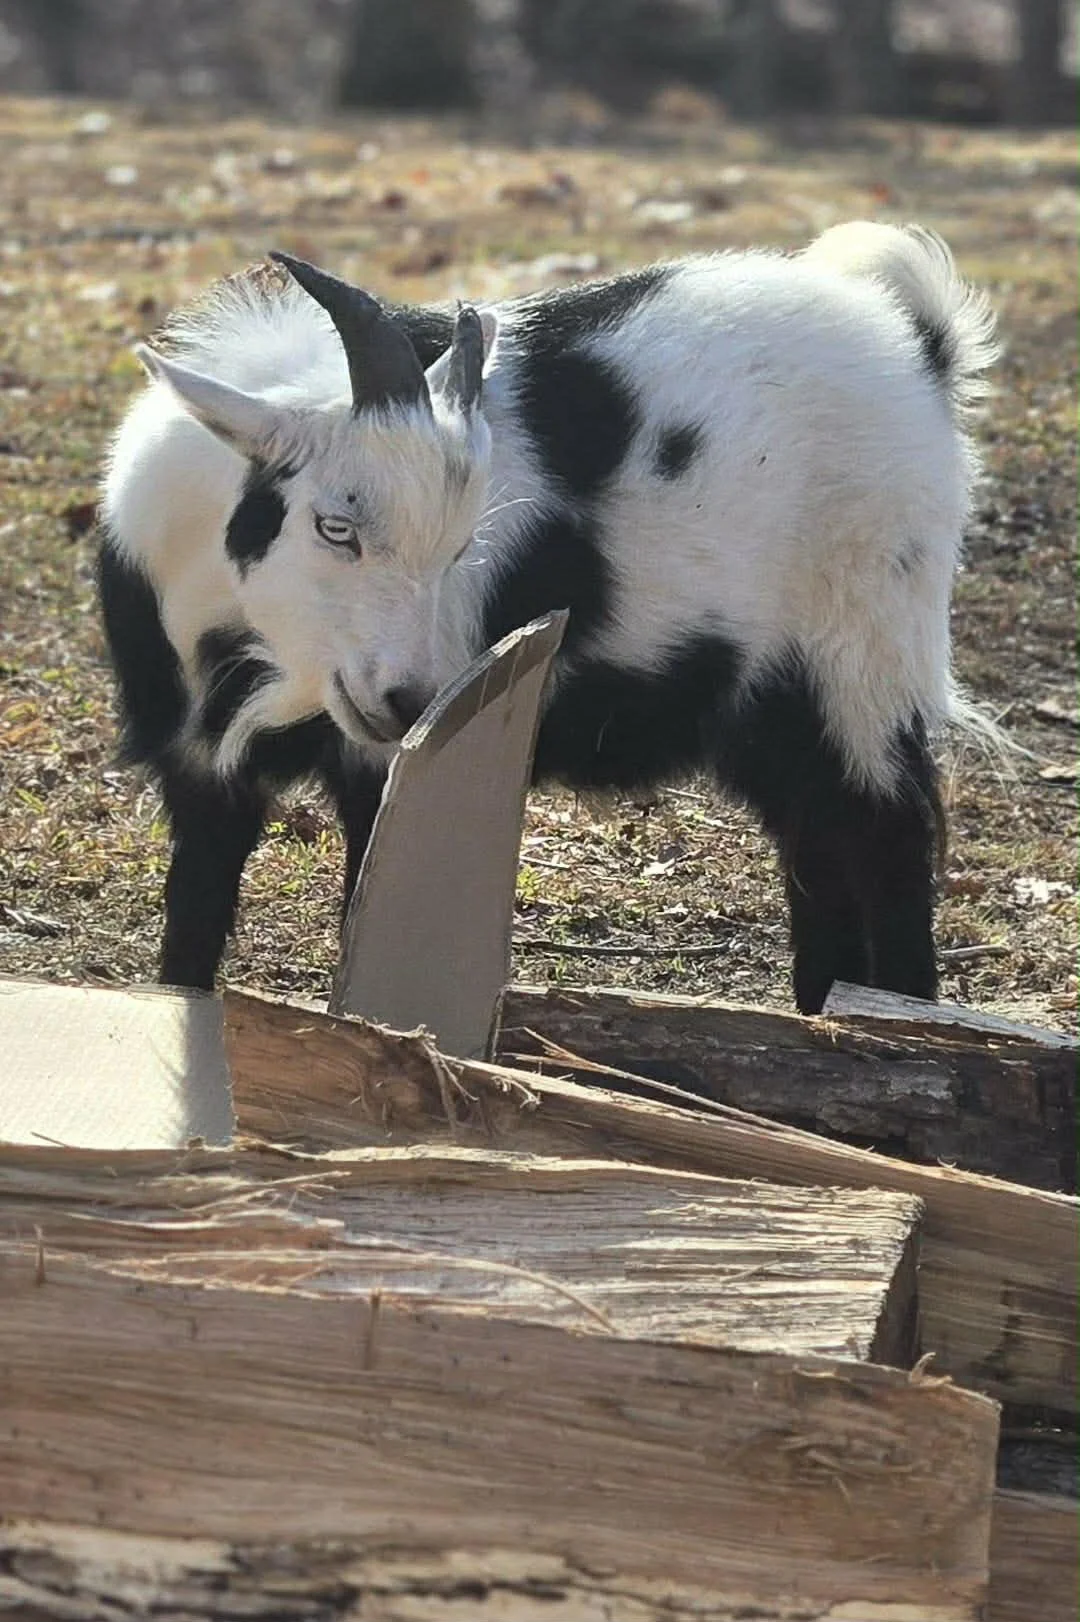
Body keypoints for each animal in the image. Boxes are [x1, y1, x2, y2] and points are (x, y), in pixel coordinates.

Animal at [98, 222, 996, 1012]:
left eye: (462, 545)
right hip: (771, 700)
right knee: (816, 832)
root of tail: (919, 344)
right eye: (335, 526)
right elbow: (190, 933)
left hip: (867, 651)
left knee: (886, 833)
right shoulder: (198, 766)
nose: (410, 702)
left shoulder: (387, 769)